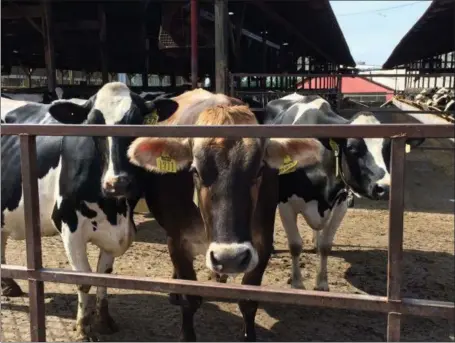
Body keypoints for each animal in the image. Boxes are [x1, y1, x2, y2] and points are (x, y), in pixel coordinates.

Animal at [1, 81, 178, 342]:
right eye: (92, 124)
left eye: (137, 121)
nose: (117, 183)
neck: (114, 209)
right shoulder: (69, 225)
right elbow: (83, 279)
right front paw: (83, 328)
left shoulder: (119, 230)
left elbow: (104, 274)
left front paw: (104, 321)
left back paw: (9, 284)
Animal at [125, 88, 324, 342]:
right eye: (195, 170)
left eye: (259, 169)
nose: (229, 258)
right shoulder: (177, 241)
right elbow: (190, 299)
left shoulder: (261, 244)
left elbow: (248, 302)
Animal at [262, 94, 426, 292]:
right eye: (353, 149)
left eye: (388, 150)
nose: (385, 188)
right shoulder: (285, 202)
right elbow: (295, 245)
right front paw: (297, 283)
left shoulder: (340, 203)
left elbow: (326, 246)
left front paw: (322, 284)